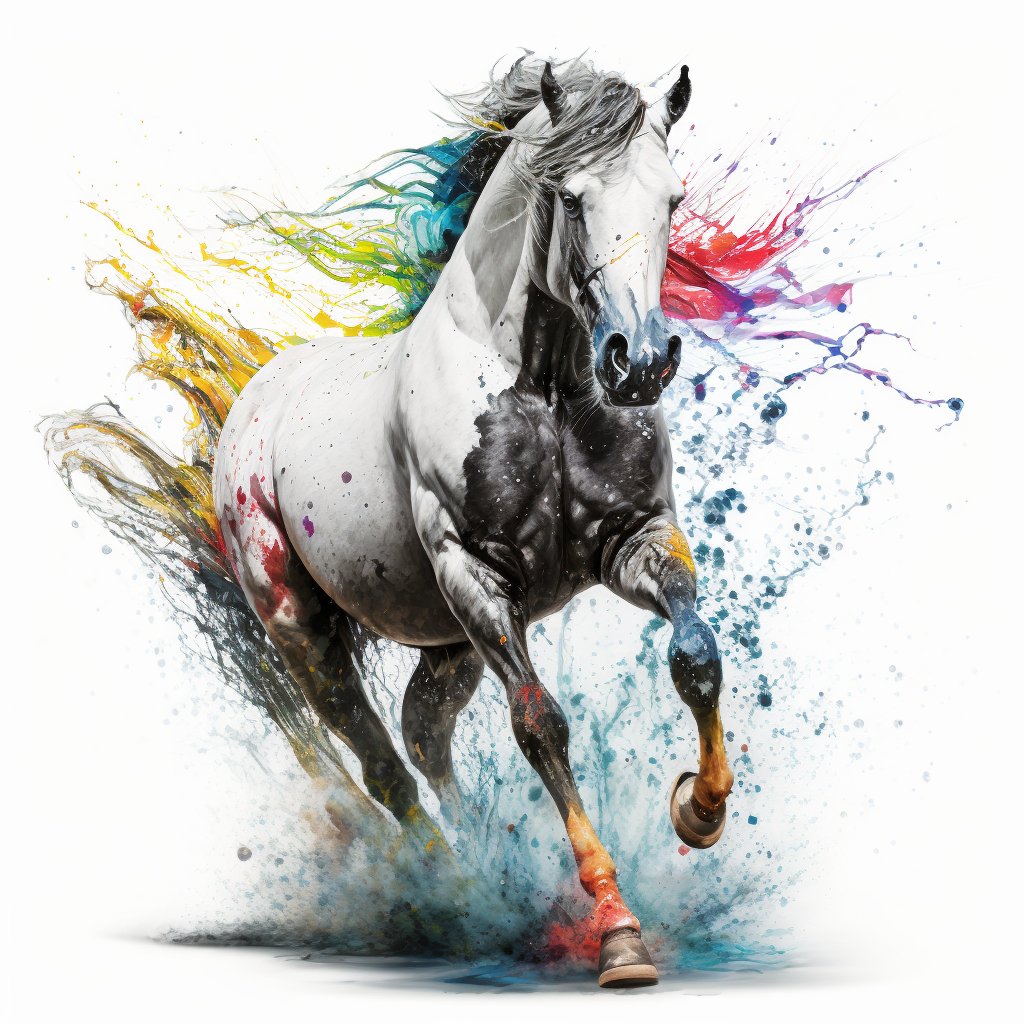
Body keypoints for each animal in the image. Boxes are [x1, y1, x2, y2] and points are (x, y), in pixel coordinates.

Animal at [213, 58, 734, 988]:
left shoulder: (633, 539)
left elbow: (696, 656)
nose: (638, 363)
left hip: (446, 647)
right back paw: (450, 897)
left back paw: (489, 872)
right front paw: (619, 933)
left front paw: (698, 810)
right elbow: (541, 726)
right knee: (384, 768)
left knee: (424, 739)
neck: (544, 384)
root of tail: (252, 402)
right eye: (570, 199)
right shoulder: (477, 576)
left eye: (671, 199)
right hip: (304, 628)